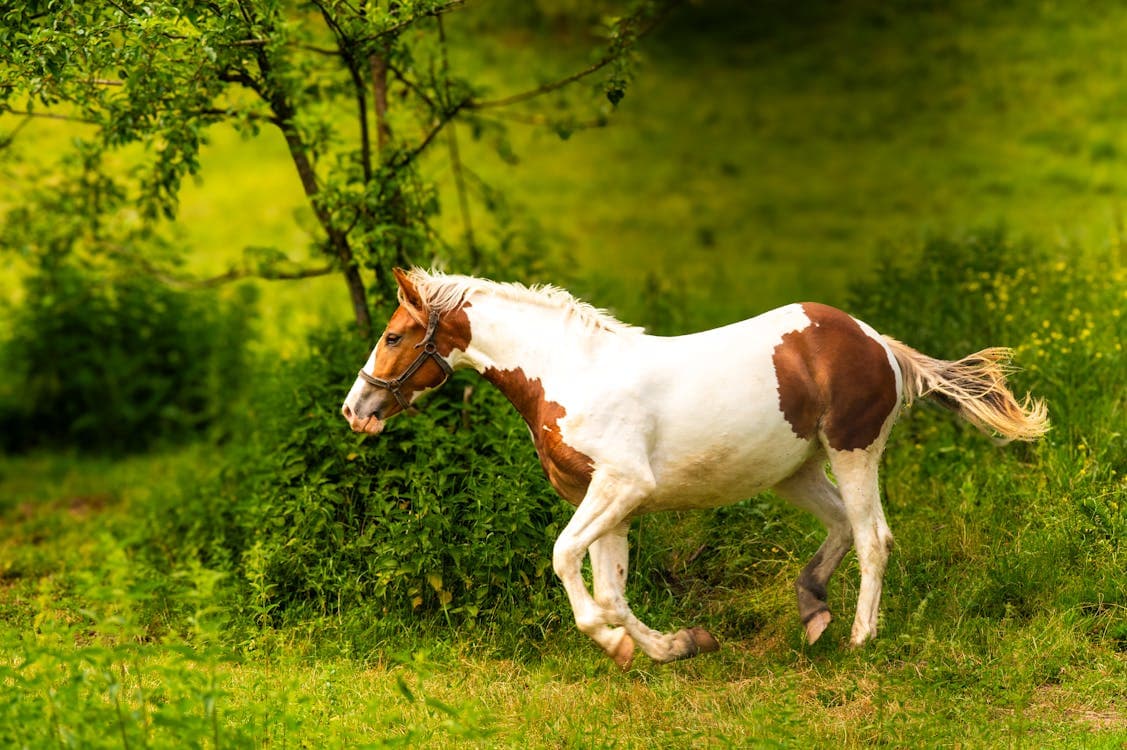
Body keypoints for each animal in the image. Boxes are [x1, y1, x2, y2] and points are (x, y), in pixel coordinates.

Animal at [341, 268, 1048, 668]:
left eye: (395, 336)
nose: (356, 409)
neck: (570, 372)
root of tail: (877, 342)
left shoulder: (621, 486)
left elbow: (566, 561)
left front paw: (616, 645)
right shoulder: (610, 501)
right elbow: (612, 589)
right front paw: (673, 646)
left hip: (854, 451)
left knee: (874, 537)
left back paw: (859, 639)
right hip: (794, 470)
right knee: (844, 528)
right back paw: (813, 614)